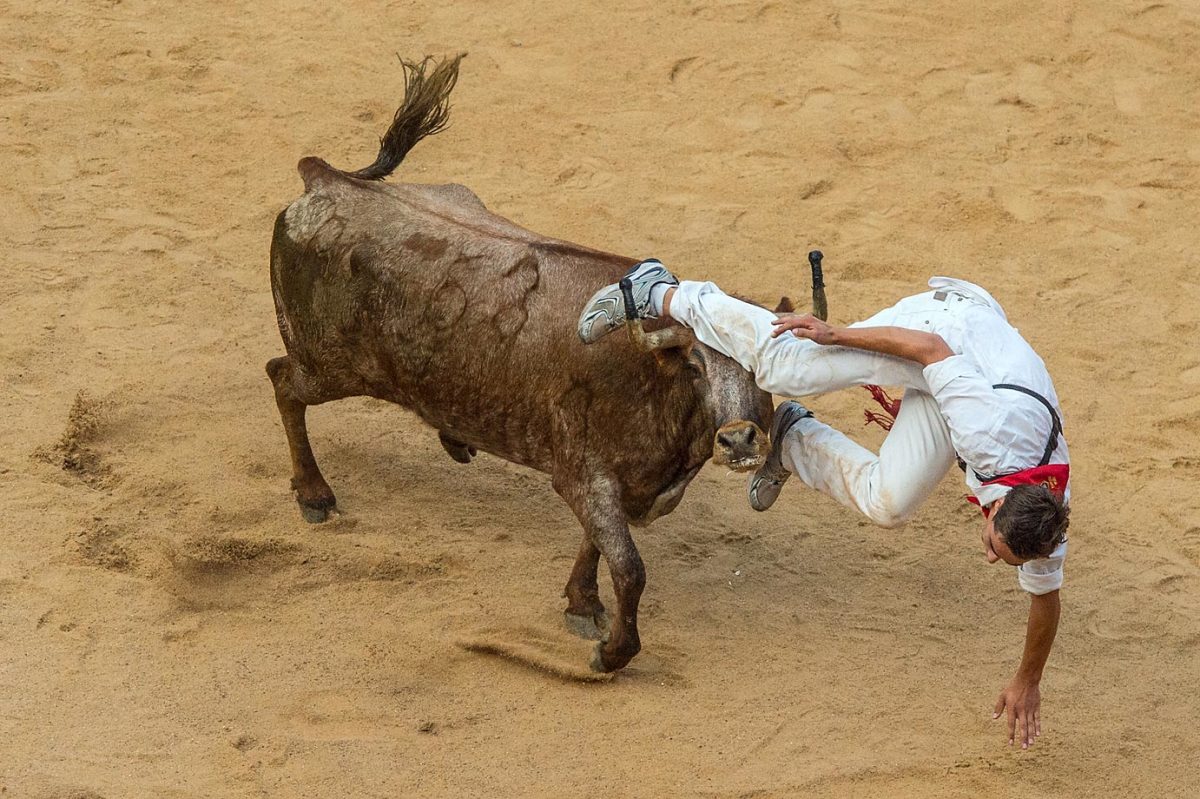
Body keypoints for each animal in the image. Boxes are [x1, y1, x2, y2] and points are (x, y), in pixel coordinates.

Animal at [266, 55, 793, 672]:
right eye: (695, 365)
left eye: (766, 368)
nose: (738, 440)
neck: (649, 380)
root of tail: (326, 178)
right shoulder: (585, 476)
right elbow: (630, 569)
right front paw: (611, 652)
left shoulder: (610, 486)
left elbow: (599, 547)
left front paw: (581, 604)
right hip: (329, 365)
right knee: (283, 381)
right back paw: (314, 494)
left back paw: (451, 439)